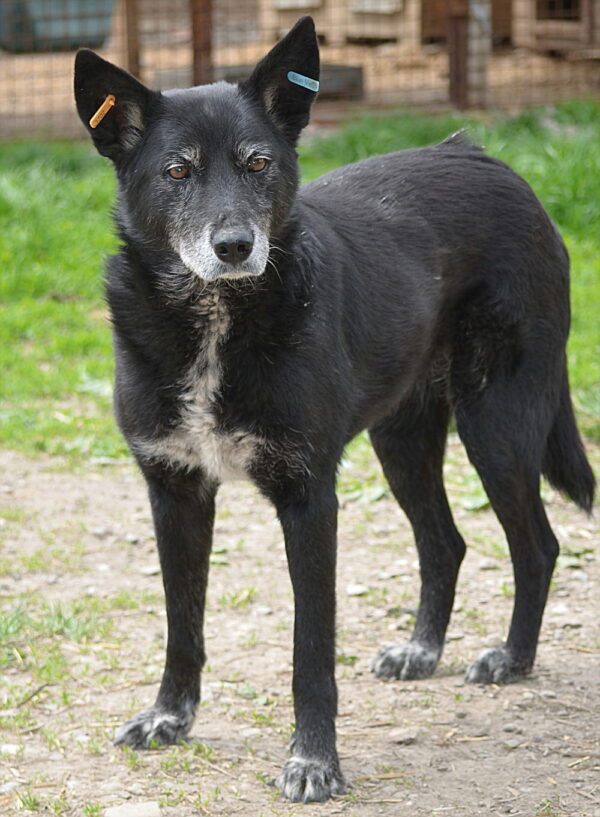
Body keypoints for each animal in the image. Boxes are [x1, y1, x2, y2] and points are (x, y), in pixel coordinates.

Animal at [72, 17, 592, 804]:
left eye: (258, 163)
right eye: (177, 172)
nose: (235, 246)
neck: (216, 319)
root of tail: (485, 157)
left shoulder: (310, 498)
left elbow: (310, 651)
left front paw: (314, 760)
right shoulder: (175, 490)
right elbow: (181, 623)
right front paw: (169, 715)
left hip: (497, 423)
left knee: (538, 544)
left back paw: (512, 657)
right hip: (401, 439)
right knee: (445, 543)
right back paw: (422, 650)